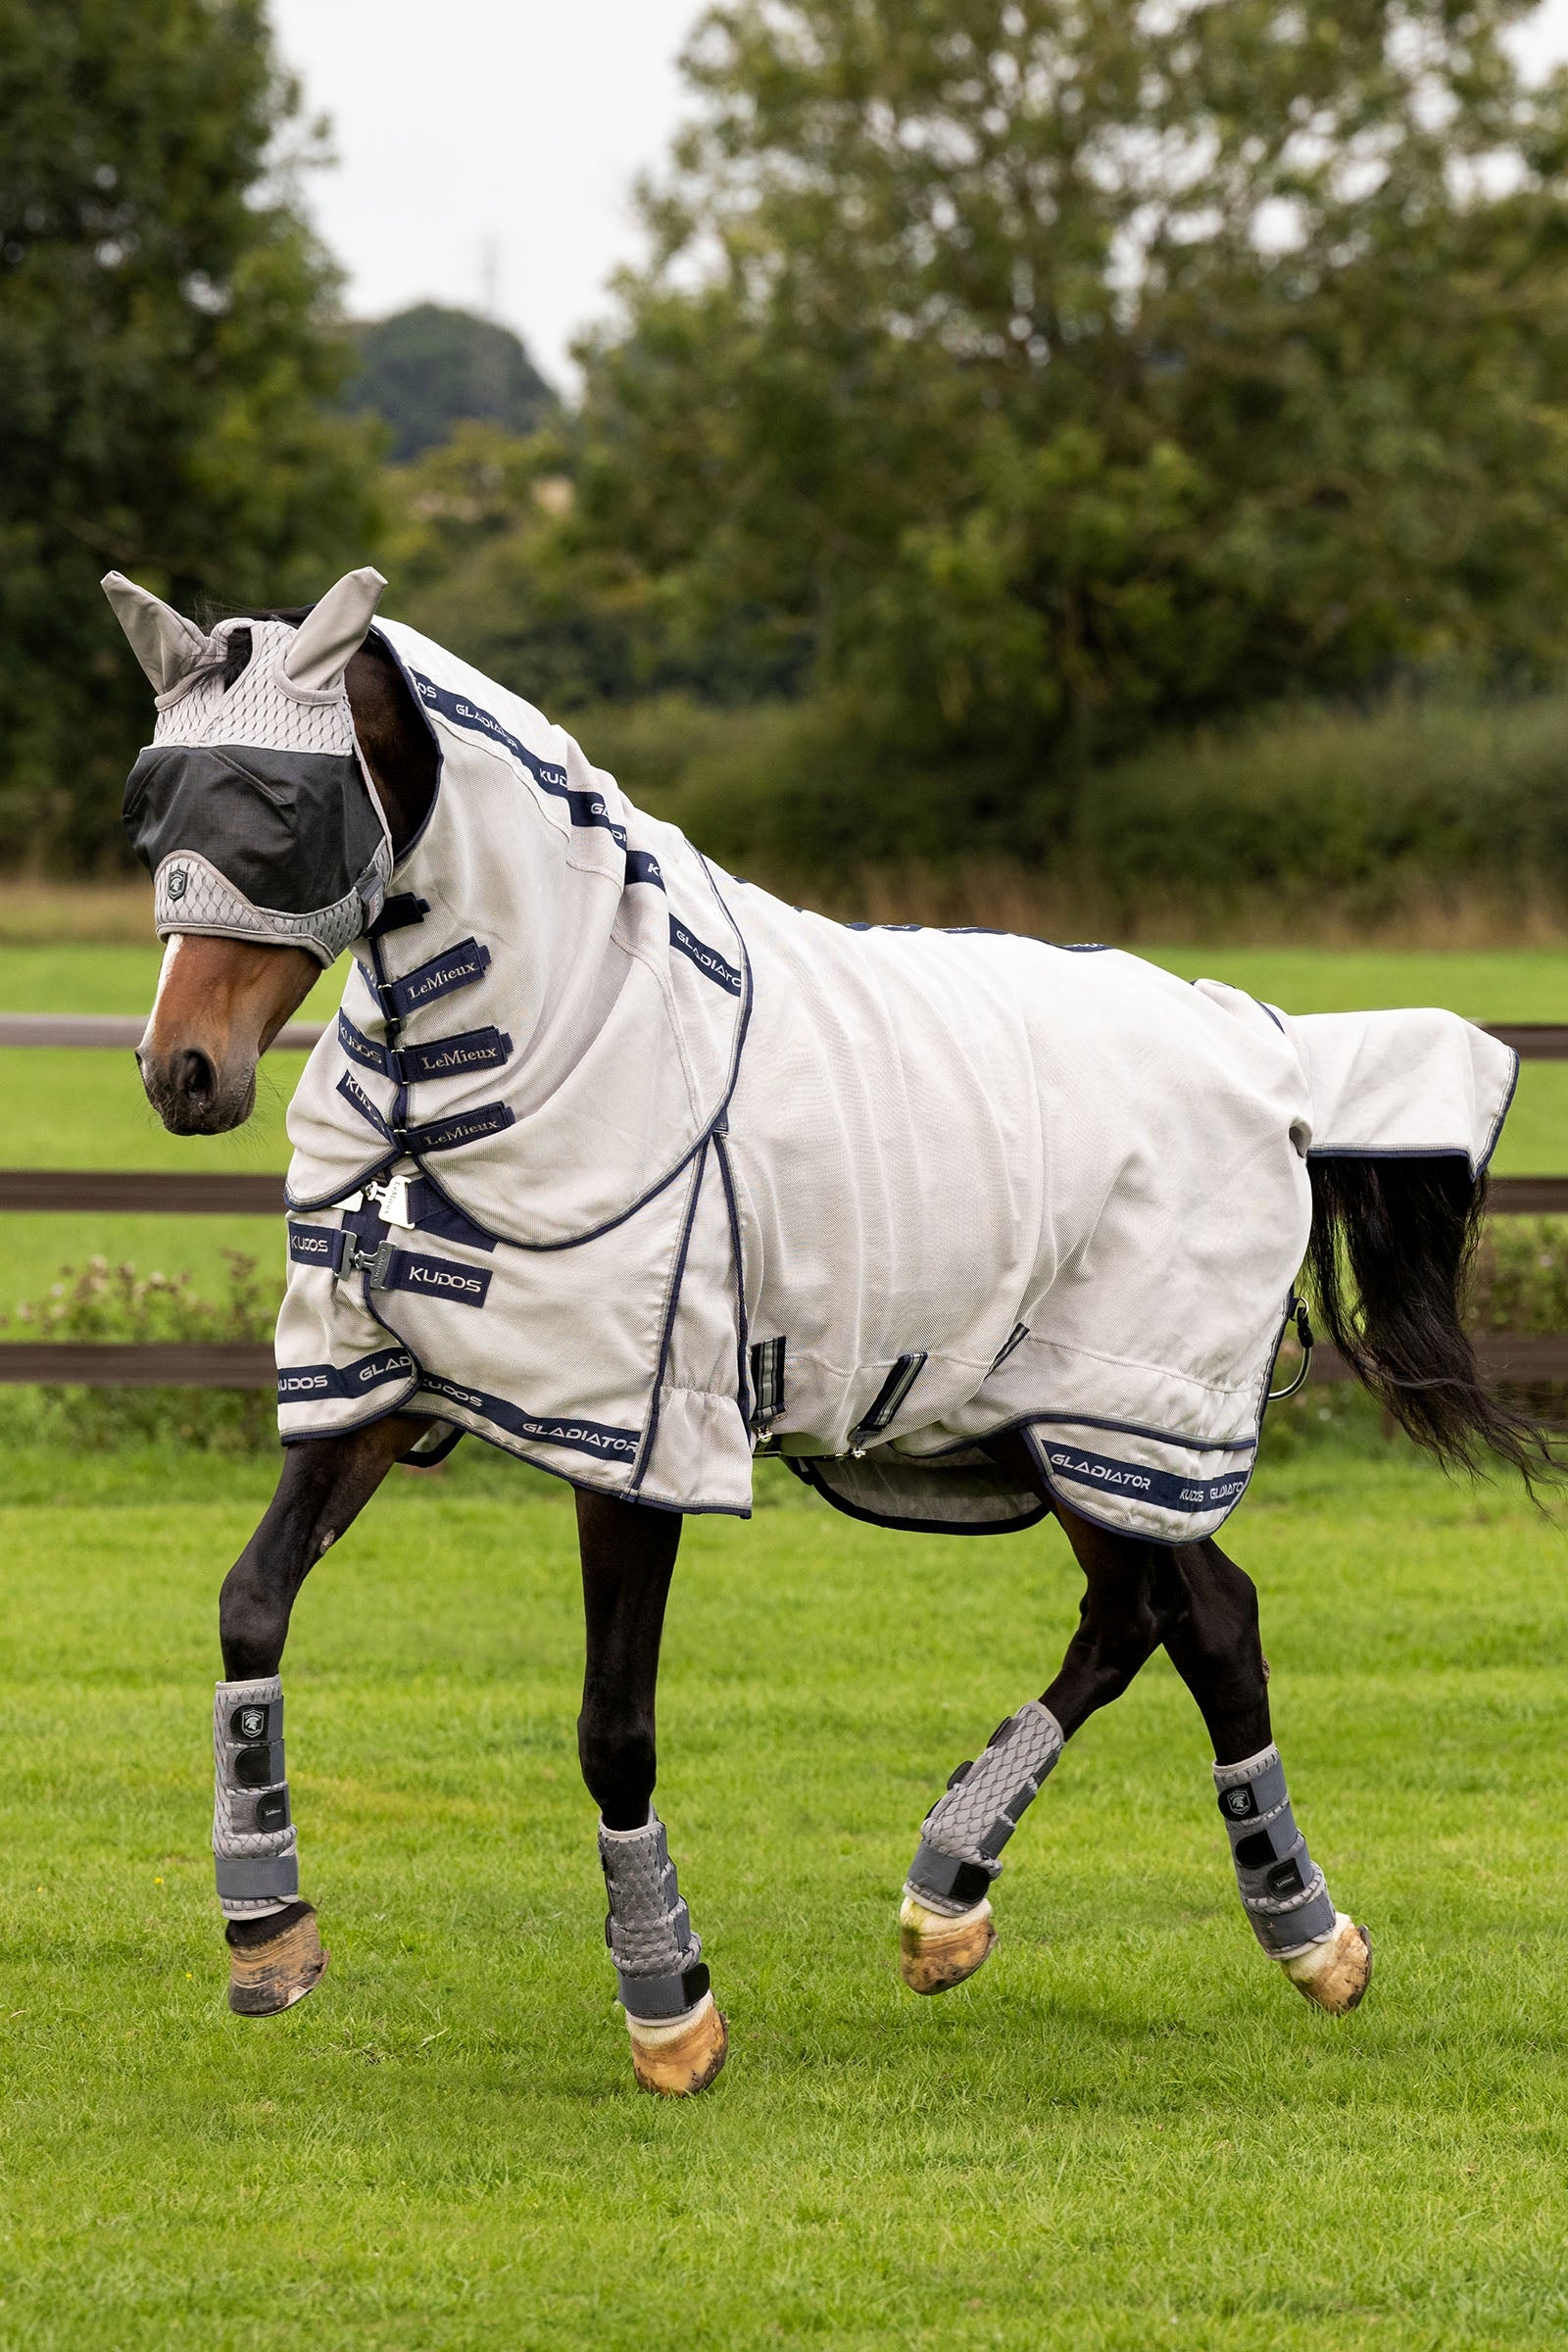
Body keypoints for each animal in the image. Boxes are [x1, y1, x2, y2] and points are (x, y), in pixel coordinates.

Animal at [105, 564, 1551, 2096]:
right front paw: (268, 1935)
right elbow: (250, 1603)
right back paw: (1035, 1911)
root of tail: (1265, 1043)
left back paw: (1236, 1929)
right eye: (154, 803)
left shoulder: (638, 1437)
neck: (552, 1040)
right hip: (1038, 1423)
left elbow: (613, 1724)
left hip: (1124, 1422)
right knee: (1169, 1614)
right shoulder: (382, 1385)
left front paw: (669, 2012)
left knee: (1185, 1617)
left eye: (277, 804)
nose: (182, 1071)